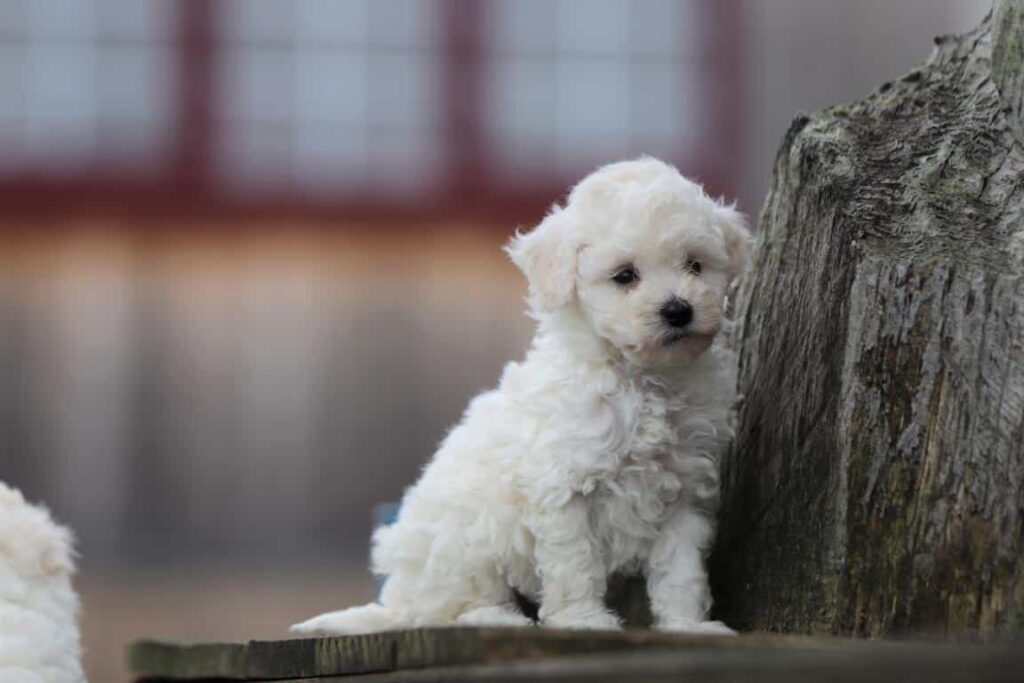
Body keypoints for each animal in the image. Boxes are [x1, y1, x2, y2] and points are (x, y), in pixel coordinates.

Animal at [292, 158, 749, 634]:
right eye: (625, 276)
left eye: (695, 265)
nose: (678, 310)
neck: (644, 379)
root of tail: (396, 600)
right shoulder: (565, 487)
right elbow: (575, 563)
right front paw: (584, 620)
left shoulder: (685, 492)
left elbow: (681, 571)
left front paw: (688, 626)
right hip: (462, 542)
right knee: (446, 608)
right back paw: (496, 617)